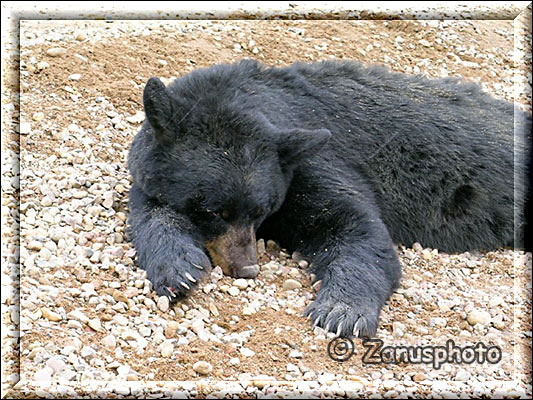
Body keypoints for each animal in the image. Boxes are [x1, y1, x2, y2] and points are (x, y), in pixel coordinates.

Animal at [127, 59, 528, 338]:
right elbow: (151, 211)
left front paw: (341, 310)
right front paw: (180, 269)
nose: (248, 268)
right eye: (214, 211)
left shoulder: (314, 155)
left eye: (260, 211)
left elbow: (354, 225)